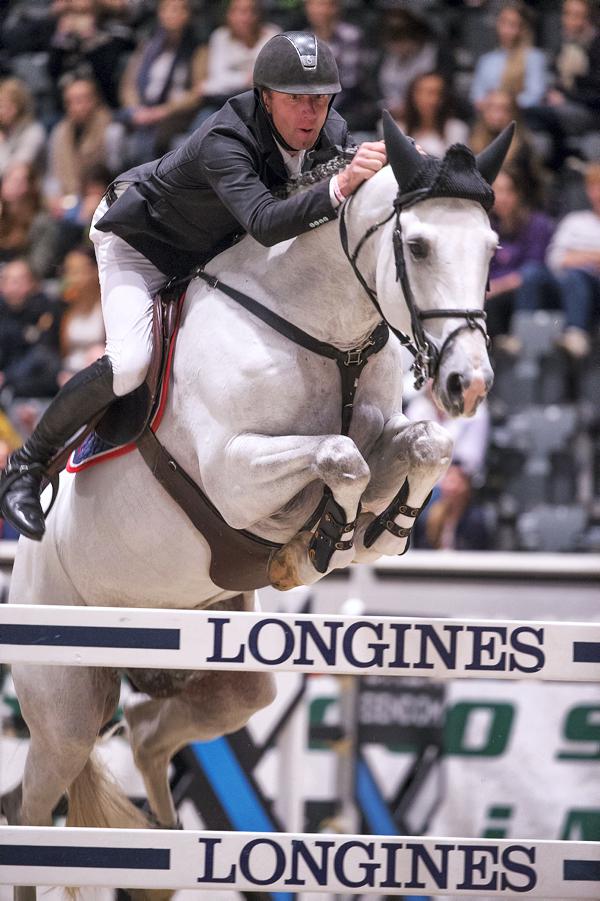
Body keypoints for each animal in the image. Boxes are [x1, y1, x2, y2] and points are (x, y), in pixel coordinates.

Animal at [1, 116, 512, 900]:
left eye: (490, 249)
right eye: (420, 245)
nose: (469, 383)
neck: (326, 334)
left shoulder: (388, 433)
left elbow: (421, 444)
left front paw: (382, 530)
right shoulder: (234, 471)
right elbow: (339, 455)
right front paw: (319, 539)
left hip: (230, 677)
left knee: (148, 730)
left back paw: (163, 854)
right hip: (65, 705)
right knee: (35, 811)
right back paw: (25, 491)